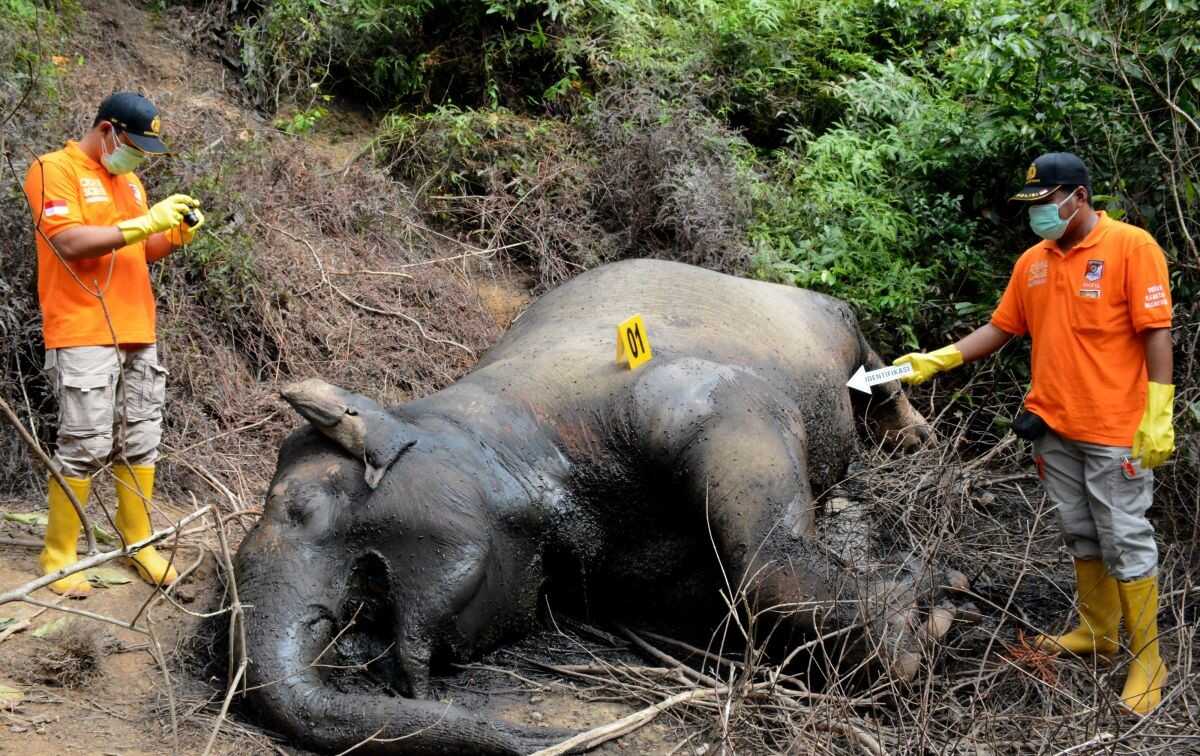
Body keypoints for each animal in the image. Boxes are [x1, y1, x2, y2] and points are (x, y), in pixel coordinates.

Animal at [232, 259, 962, 755]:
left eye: (302, 508)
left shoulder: (695, 397)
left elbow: (758, 564)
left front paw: (924, 629)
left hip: (825, 320)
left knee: (866, 355)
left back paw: (911, 434)